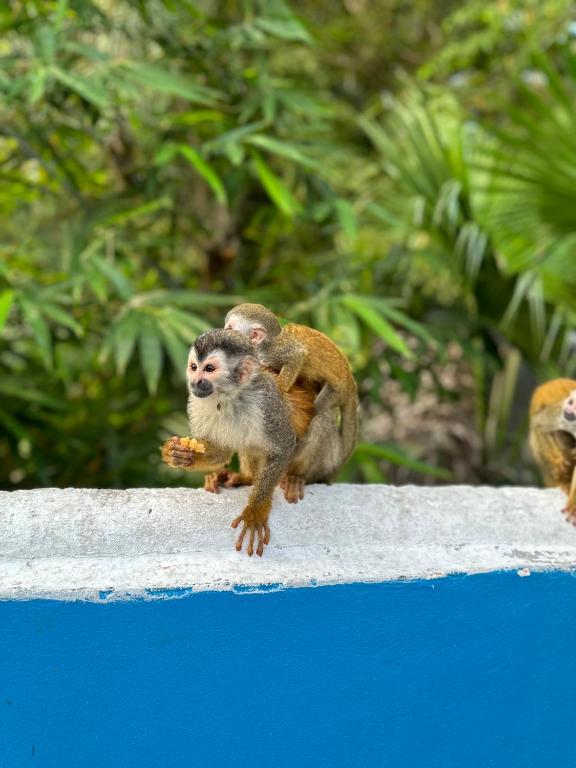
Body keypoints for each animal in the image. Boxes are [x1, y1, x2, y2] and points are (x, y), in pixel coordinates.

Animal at [162, 329, 298, 556]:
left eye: (209, 369)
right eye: (194, 367)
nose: (195, 381)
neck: (229, 396)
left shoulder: (266, 402)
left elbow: (284, 447)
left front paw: (256, 509)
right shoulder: (196, 402)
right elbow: (222, 451)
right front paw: (179, 454)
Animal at [223, 303, 359, 468]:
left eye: (230, 328)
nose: (224, 332)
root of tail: (350, 383)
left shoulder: (271, 352)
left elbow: (297, 354)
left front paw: (280, 385)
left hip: (337, 392)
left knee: (320, 406)